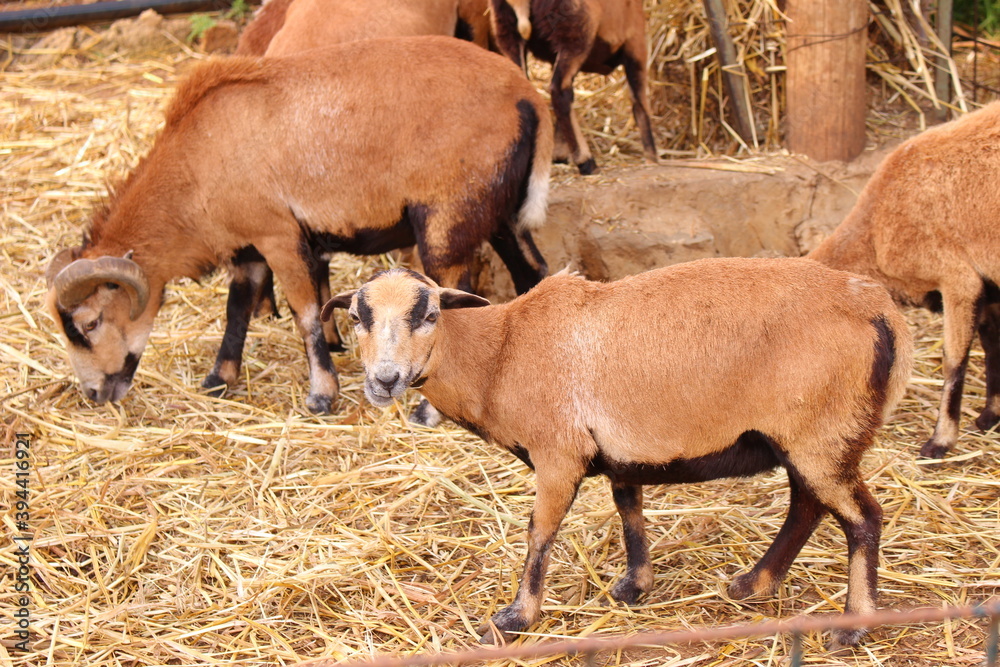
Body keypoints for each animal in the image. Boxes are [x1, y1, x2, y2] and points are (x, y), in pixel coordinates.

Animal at [47, 37, 556, 412]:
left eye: (90, 323)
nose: (94, 394)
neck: (195, 167)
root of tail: (526, 96)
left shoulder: (277, 235)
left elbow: (305, 313)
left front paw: (321, 395)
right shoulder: (248, 247)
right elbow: (236, 309)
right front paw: (218, 380)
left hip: (446, 217)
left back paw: (429, 410)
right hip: (499, 210)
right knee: (533, 272)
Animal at [326, 260, 916, 648]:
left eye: (428, 314)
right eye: (356, 317)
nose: (384, 380)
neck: (501, 352)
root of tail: (880, 308)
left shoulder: (558, 453)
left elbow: (539, 532)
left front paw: (516, 618)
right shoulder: (619, 451)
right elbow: (629, 509)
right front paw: (635, 586)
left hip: (822, 431)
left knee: (862, 517)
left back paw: (852, 629)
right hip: (811, 437)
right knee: (807, 506)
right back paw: (753, 584)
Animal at [490, 0, 656, 175]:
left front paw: (559, 153)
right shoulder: (635, 43)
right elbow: (640, 103)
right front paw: (652, 158)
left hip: (507, 31)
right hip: (575, 32)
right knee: (559, 92)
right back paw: (587, 162)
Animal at [808, 102, 1000, 462]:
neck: (875, 232)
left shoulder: (959, 279)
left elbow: (954, 360)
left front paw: (940, 443)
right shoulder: (987, 286)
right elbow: (992, 346)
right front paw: (989, 417)